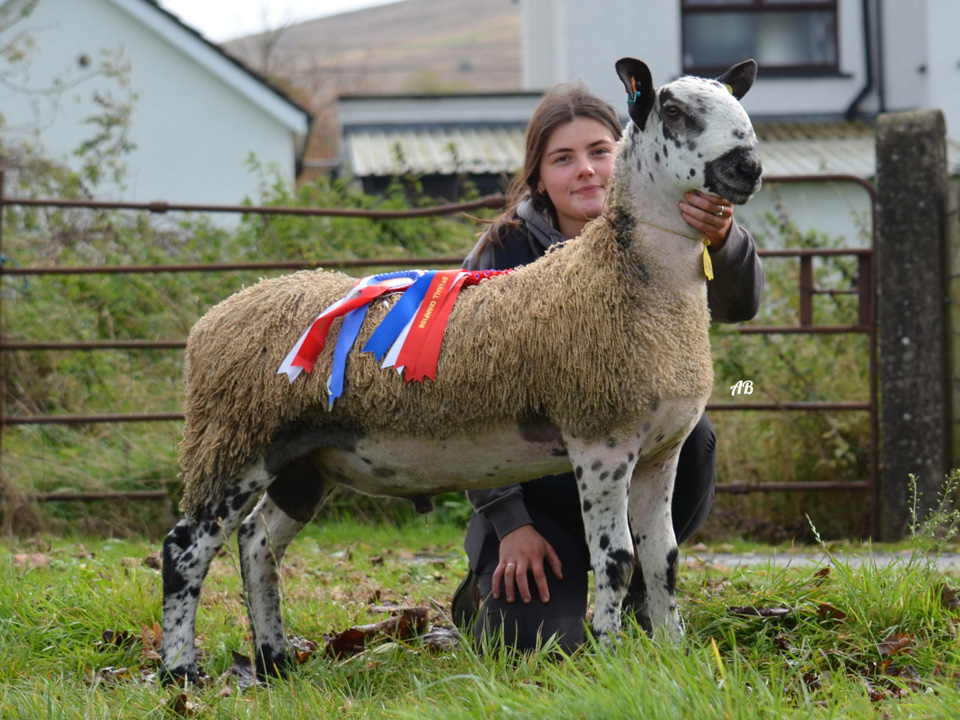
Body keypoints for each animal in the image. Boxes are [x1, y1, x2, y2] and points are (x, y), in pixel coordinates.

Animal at [159, 59, 764, 684]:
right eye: (672, 110)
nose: (748, 166)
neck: (624, 275)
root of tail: (209, 322)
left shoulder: (661, 450)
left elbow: (663, 558)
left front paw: (673, 653)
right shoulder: (600, 436)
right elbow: (616, 559)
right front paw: (611, 658)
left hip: (303, 460)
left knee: (258, 542)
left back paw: (275, 660)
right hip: (235, 439)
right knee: (185, 548)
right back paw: (180, 671)